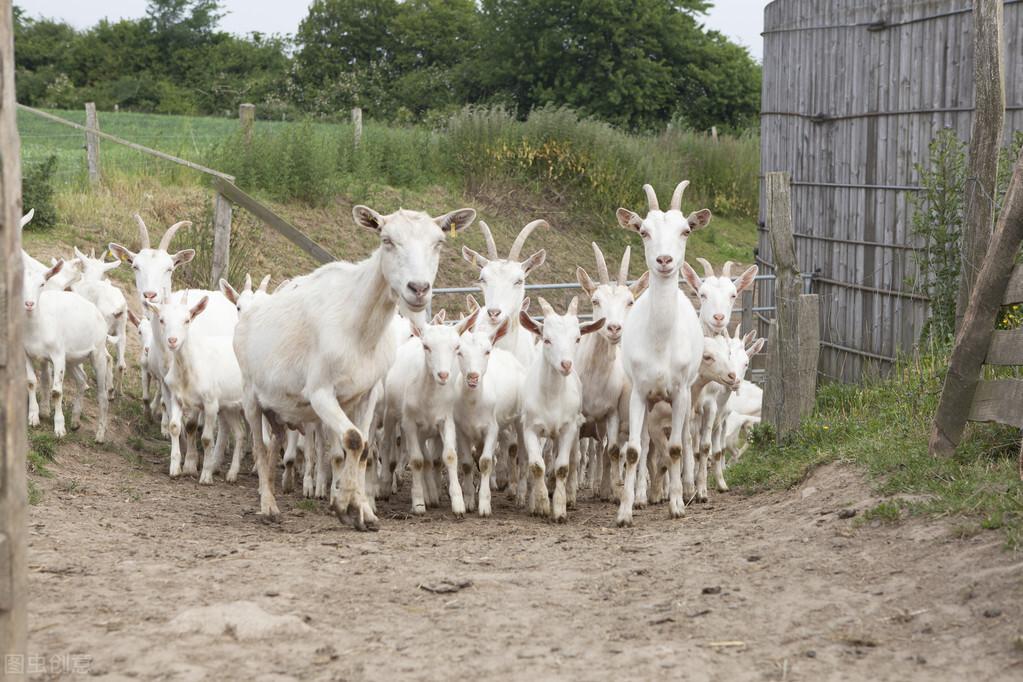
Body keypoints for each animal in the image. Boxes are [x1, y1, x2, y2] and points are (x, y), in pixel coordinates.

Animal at [232, 202, 474, 527]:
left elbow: (363, 449)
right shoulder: (320, 391)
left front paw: (362, 510)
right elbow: (353, 440)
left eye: (439, 242)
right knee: (259, 446)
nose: (419, 288)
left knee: (275, 443)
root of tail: (249, 309)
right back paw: (268, 505)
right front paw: (344, 505)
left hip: (279, 406)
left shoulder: (367, 392)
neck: (358, 328)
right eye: (386, 240)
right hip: (250, 394)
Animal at [519, 296, 597, 519]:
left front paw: (560, 509)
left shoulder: (568, 428)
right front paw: (541, 505)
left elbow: (563, 466)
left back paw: (569, 494)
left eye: (577, 338)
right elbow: (536, 466)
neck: (552, 396)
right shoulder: (530, 428)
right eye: (547, 339)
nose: (566, 364)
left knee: (573, 458)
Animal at [613, 183, 712, 527]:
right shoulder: (639, 393)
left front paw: (677, 505)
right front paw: (625, 511)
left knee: (685, 439)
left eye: (686, 230)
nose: (664, 260)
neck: (660, 343)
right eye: (644, 231)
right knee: (644, 445)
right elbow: (633, 450)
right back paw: (644, 496)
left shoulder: (680, 391)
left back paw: (687, 488)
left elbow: (676, 448)